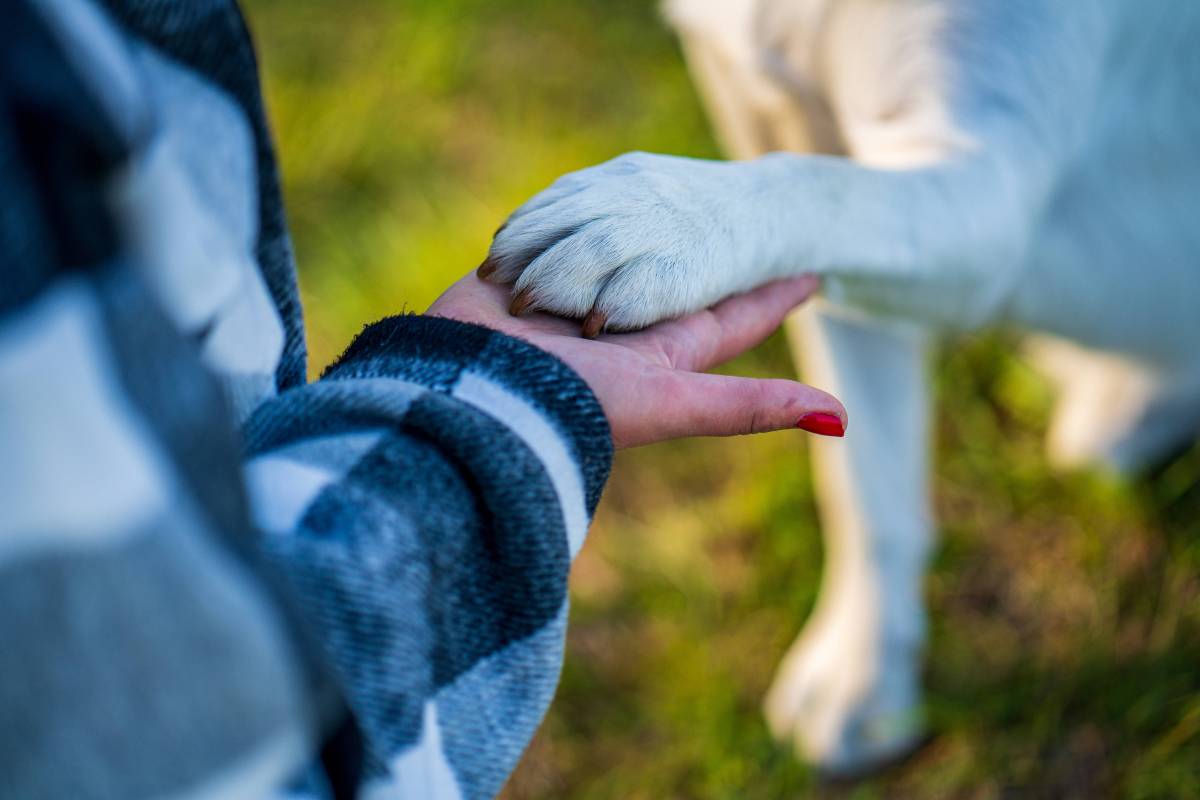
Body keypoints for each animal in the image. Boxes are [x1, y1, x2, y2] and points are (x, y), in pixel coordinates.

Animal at [475, 0, 1200, 777]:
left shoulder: (989, 193)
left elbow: (815, 181)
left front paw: (661, 214)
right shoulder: (776, 133)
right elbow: (865, 487)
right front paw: (865, 677)